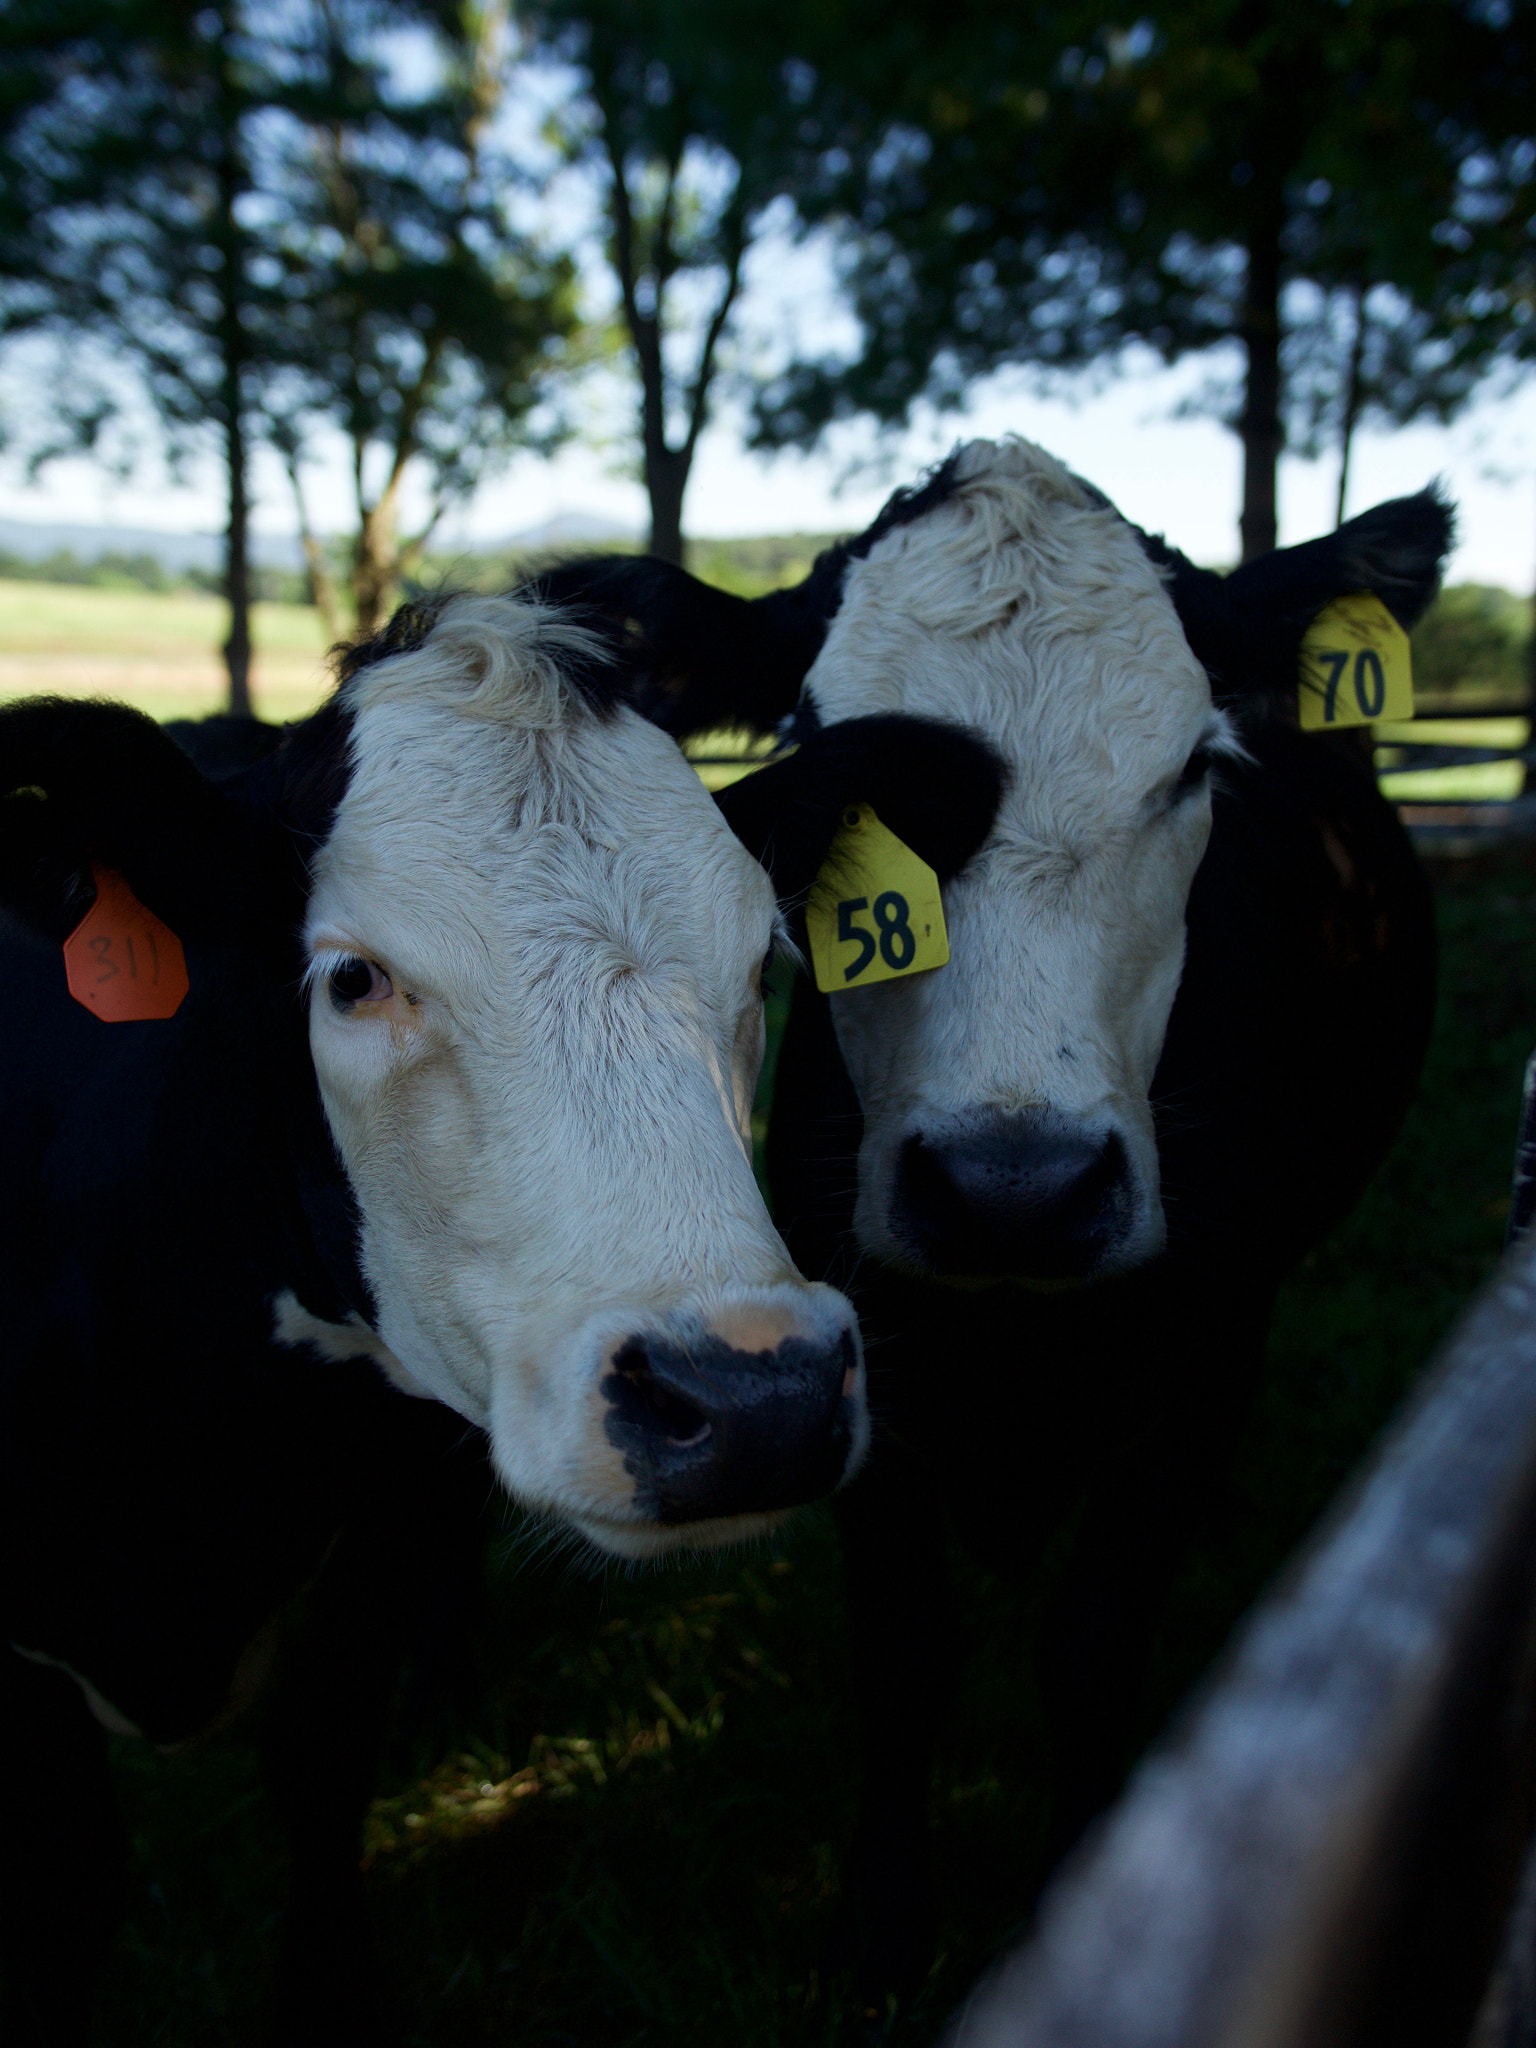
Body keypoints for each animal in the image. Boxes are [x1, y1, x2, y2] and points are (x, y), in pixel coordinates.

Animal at [0, 585, 868, 2039]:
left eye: (767, 960)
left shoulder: (391, 1512)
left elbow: (323, 1764)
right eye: (353, 978)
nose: (761, 1394)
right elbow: (66, 1878)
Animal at [532, 440, 1458, 2007]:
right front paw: (879, 1939)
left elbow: (1091, 1642)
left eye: (1199, 764)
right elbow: (909, 1646)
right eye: (823, 746)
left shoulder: (1212, 1347)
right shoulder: (857, 1337)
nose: (1011, 1187)